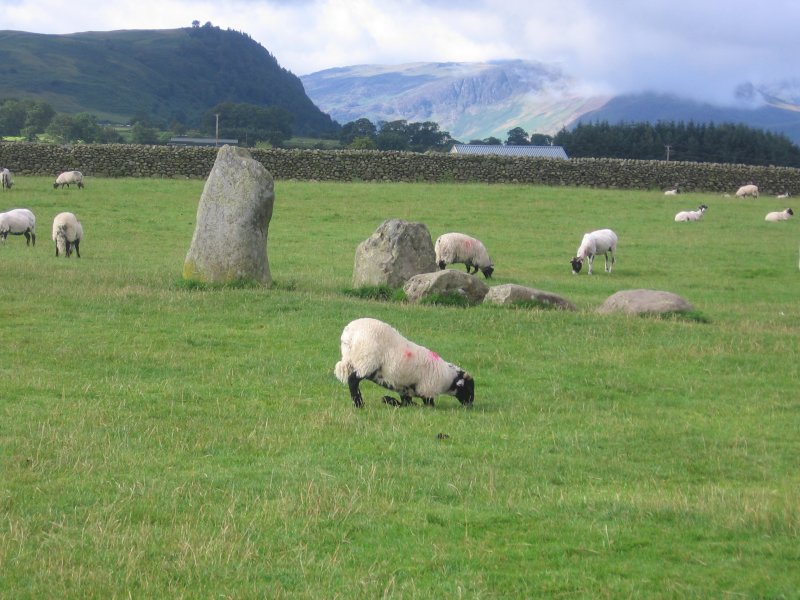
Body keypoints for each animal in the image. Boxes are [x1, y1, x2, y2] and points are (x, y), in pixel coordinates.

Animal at [332, 316, 476, 410]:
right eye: (469, 388)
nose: (470, 405)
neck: (447, 378)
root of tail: (349, 335)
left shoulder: (404, 387)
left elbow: (406, 402)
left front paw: (390, 401)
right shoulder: (426, 389)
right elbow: (426, 404)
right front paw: (390, 400)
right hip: (366, 361)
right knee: (353, 381)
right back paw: (359, 404)